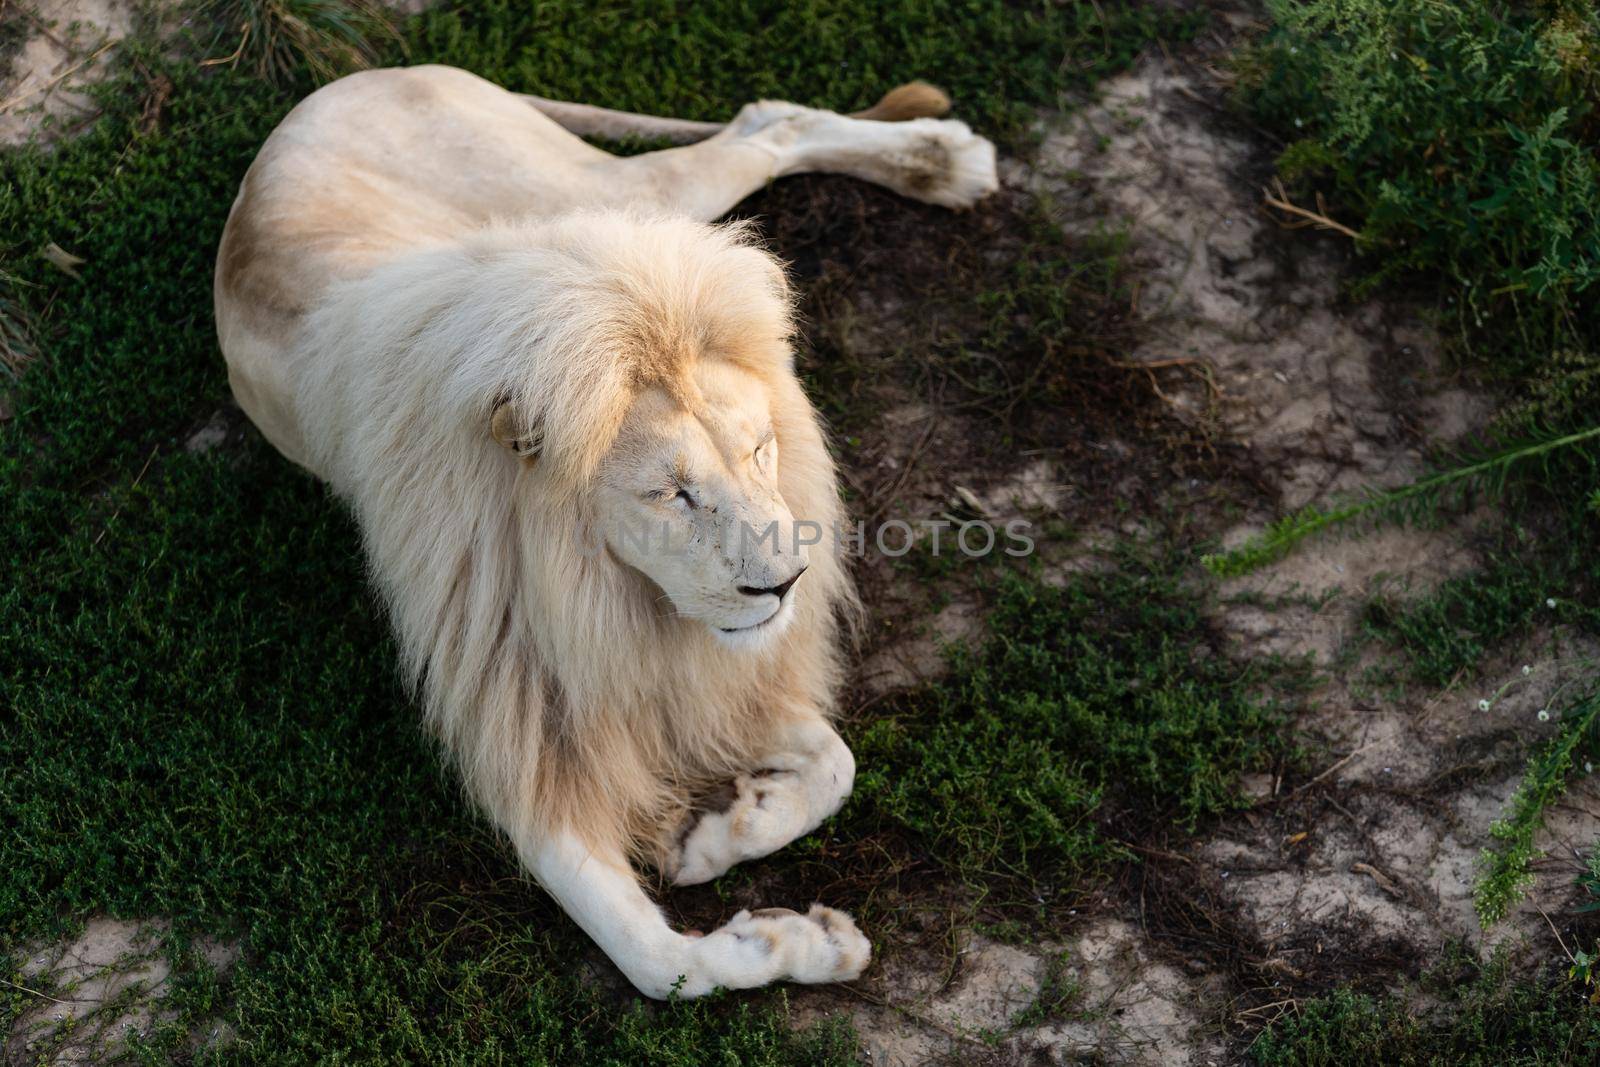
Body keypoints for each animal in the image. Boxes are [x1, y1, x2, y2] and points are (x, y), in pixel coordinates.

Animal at [219, 64, 992, 1004]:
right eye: (671, 494)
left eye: (761, 449)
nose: (782, 588)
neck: (612, 599)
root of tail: (353, 81)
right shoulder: (534, 725)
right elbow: (660, 962)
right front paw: (791, 933)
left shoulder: (702, 673)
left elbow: (837, 765)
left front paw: (720, 834)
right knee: (761, 124)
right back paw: (943, 160)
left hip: (598, 199)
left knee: (768, 123)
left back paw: (945, 162)